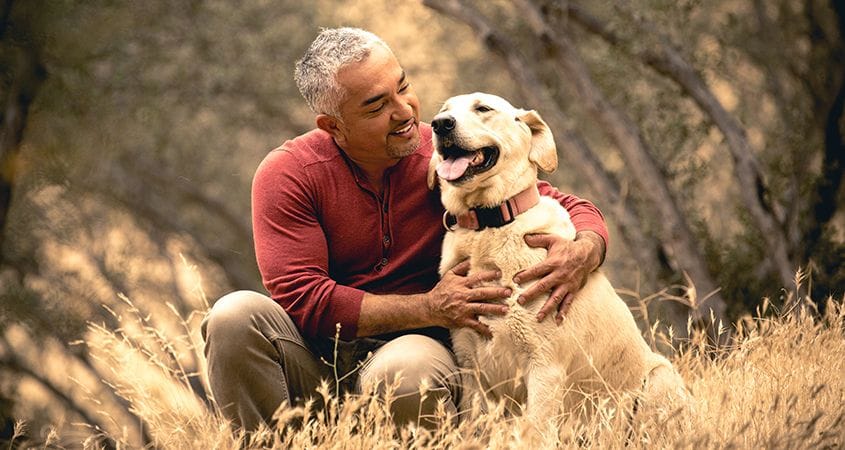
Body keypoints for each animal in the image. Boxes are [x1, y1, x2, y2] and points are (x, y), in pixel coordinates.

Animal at [428, 92, 684, 440]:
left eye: (483, 108)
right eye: (444, 111)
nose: (440, 125)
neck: (488, 225)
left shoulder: (544, 367)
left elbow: (535, 432)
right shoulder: (471, 369)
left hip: (661, 378)